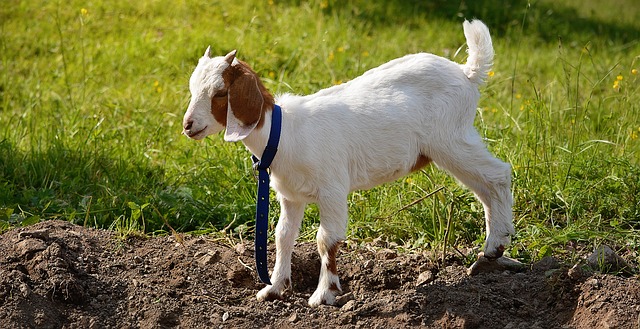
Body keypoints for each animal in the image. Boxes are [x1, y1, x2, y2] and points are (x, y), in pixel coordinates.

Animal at [181, 20, 516, 306]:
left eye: (220, 93)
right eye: (192, 89)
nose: (188, 125)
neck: (283, 131)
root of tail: (466, 72)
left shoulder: (332, 190)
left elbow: (325, 240)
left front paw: (323, 294)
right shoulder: (290, 196)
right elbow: (283, 235)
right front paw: (274, 288)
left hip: (452, 139)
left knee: (498, 175)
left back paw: (496, 243)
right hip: (450, 145)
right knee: (483, 188)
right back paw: (491, 249)